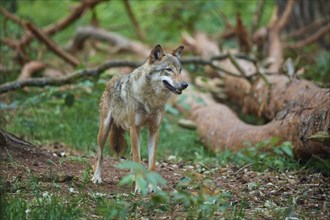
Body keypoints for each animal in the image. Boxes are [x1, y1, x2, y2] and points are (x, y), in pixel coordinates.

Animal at [91, 43, 188, 192]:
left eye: (180, 70)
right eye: (168, 69)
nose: (185, 85)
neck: (152, 99)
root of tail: (112, 78)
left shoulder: (154, 130)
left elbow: (151, 163)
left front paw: (152, 187)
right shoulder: (134, 128)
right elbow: (137, 159)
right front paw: (140, 186)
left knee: (131, 155)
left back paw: (131, 178)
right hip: (105, 130)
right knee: (99, 154)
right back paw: (97, 177)